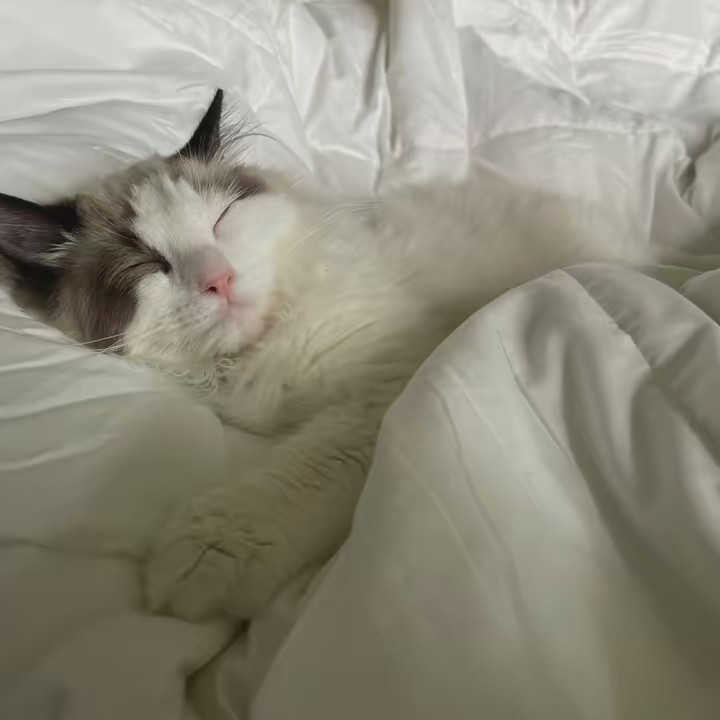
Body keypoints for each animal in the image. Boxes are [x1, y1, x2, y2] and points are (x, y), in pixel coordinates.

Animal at [0, 90, 659, 620]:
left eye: (222, 218)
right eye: (147, 264)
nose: (219, 280)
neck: (262, 350)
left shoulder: (388, 382)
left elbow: (304, 471)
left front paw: (214, 548)